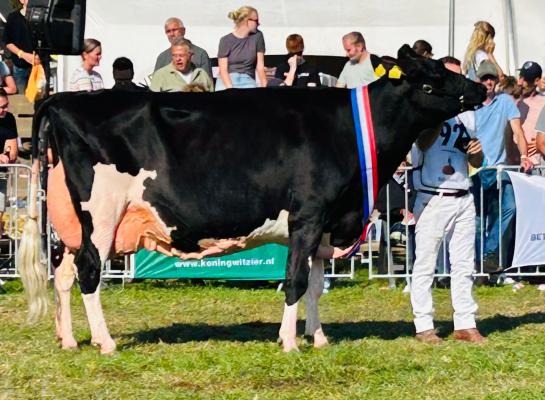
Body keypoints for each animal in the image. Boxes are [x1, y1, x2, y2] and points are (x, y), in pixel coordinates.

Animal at [18, 45, 484, 354]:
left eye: (445, 70)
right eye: (431, 83)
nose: (480, 89)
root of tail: (63, 99)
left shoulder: (327, 223)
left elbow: (316, 285)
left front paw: (318, 338)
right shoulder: (308, 216)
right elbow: (296, 281)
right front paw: (290, 343)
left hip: (73, 220)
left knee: (63, 273)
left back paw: (68, 340)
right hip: (102, 214)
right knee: (89, 272)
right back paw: (106, 342)